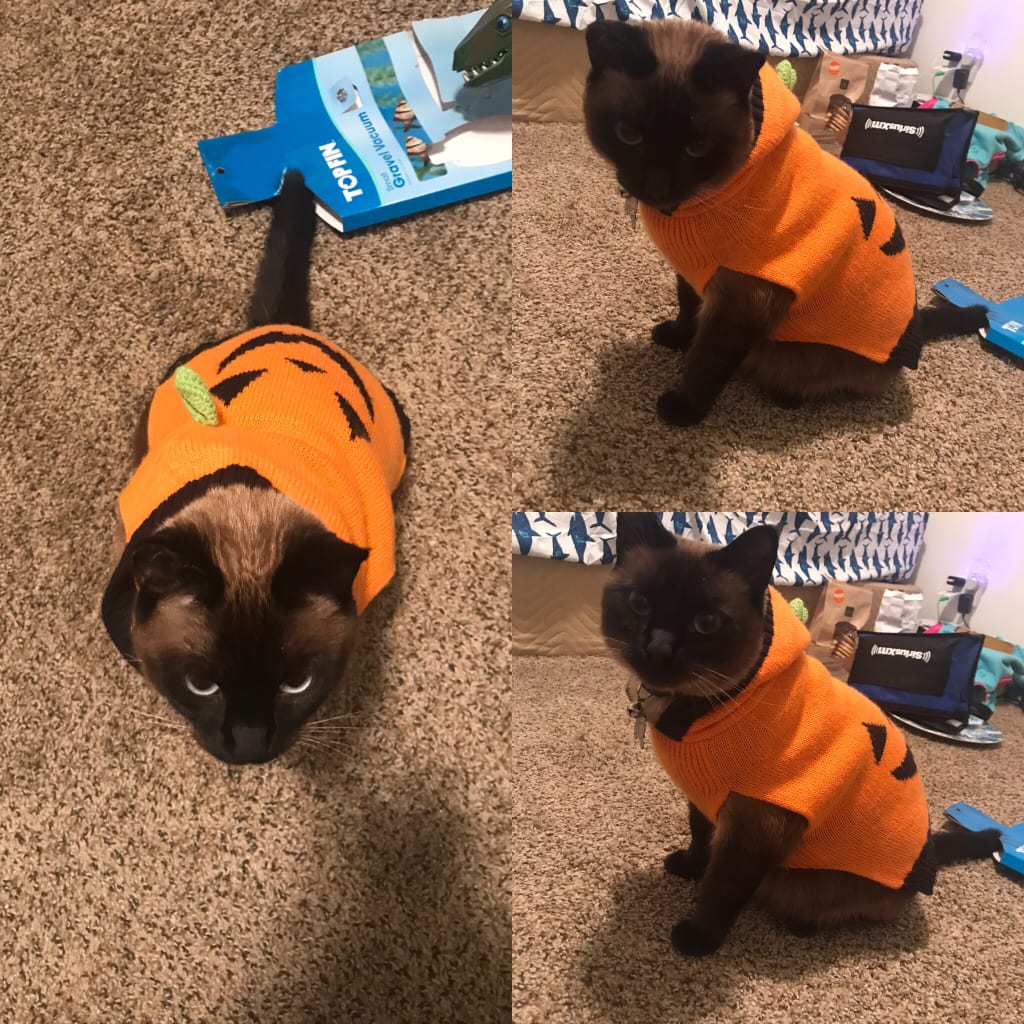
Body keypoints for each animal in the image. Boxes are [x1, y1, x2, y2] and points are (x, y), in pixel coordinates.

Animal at [583, 20, 988, 426]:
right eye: (629, 135)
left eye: (697, 148)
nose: (656, 189)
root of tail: (914, 330)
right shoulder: (693, 271)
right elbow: (687, 312)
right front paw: (676, 338)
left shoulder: (740, 303)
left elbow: (706, 363)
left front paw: (683, 410)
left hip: (797, 353)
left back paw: (787, 396)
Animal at [601, 513, 1001, 956]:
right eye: (639, 603)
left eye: (706, 623)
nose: (657, 648)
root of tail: (927, 854)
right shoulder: (704, 800)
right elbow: (699, 841)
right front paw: (687, 869)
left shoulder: (752, 831)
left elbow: (720, 891)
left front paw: (698, 940)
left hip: (807, 880)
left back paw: (801, 925)